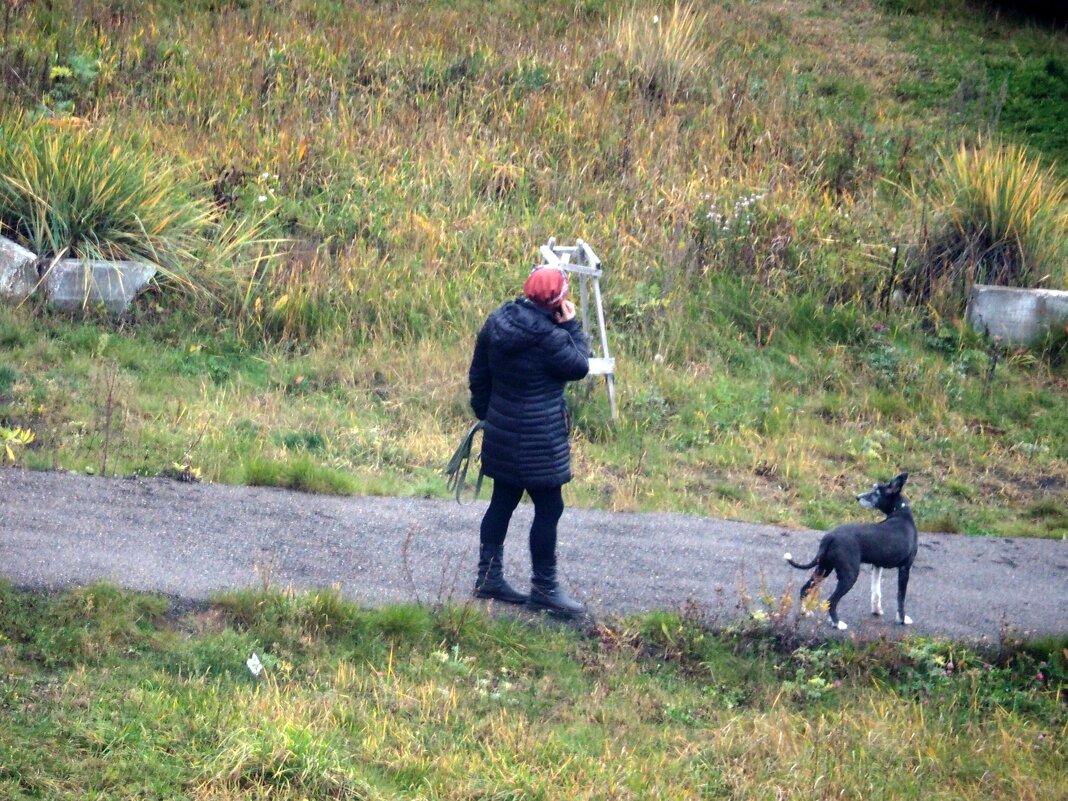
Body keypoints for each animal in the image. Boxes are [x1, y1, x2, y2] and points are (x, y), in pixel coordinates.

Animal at [786, 469, 918, 632]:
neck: (900, 513)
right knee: (831, 600)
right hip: (849, 575)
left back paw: (805, 611)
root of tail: (831, 536)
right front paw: (902, 619)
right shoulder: (905, 568)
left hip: (823, 568)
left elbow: (876, 592)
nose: (857, 497)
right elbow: (901, 598)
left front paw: (877, 611)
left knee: (804, 589)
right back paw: (837, 623)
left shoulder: (877, 566)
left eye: (876, 492)